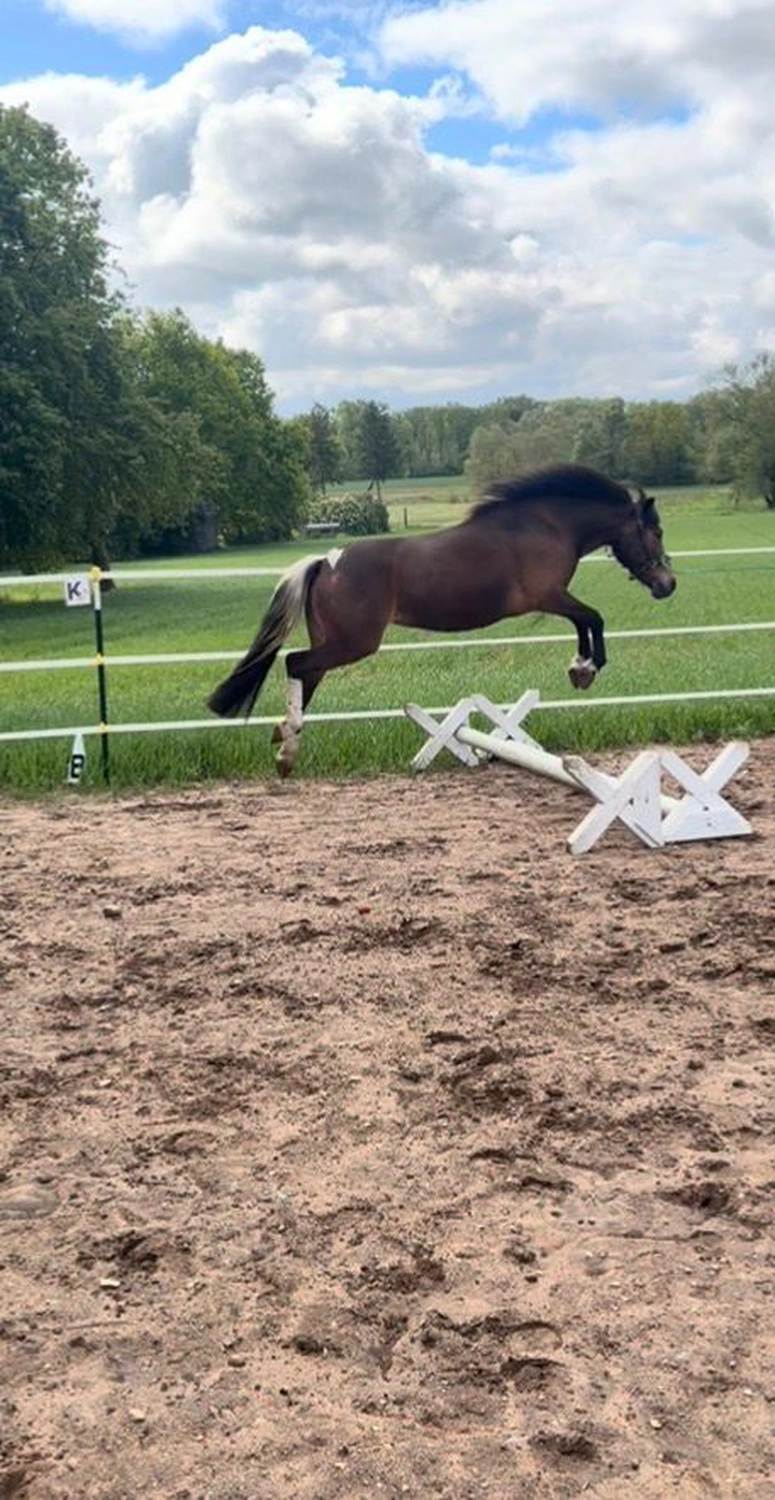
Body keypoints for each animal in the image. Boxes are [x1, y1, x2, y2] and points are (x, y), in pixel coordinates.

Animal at [208, 463, 676, 776]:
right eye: (656, 532)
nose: (667, 584)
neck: (546, 525)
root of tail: (326, 561)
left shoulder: (552, 599)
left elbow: (586, 621)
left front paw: (580, 668)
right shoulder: (548, 596)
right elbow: (593, 618)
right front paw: (585, 669)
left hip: (334, 641)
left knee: (305, 673)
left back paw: (283, 745)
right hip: (354, 643)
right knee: (295, 663)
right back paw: (286, 749)